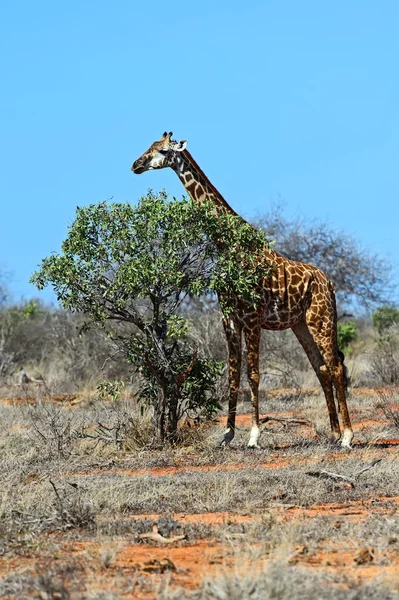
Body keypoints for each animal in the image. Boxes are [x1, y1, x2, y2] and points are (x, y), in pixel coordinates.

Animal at [131, 134, 354, 448]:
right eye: (148, 148)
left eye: (162, 151)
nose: (136, 165)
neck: (227, 245)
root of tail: (330, 283)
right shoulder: (229, 318)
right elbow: (233, 376)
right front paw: (227, 434)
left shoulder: (251, 318)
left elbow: (254, 375)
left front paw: (254, 435)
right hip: (301, 325)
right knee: (321, 369)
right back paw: (333, 433)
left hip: (321, 320)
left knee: (334, 367)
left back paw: (347, 436)